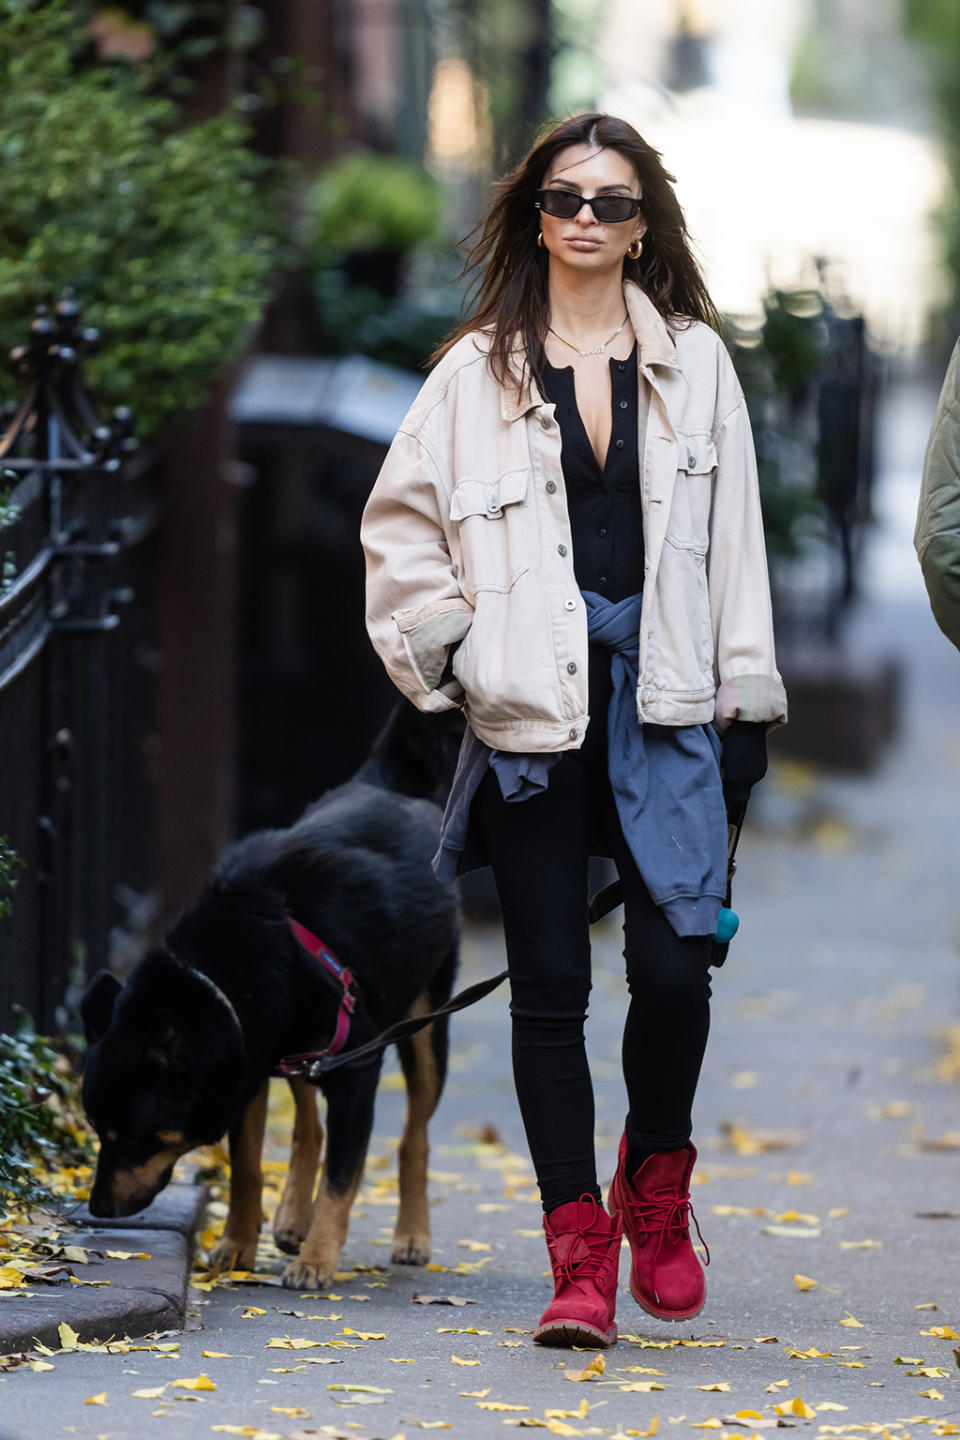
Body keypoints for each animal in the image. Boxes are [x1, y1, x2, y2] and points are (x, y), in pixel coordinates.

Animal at [78, 702, 460, 1290]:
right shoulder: (249, 1066)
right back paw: (292, 1216)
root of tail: (387, 785)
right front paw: (238, 1244)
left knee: (412, 1137)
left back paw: (411, 1234)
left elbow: (342, 1178)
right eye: (97, 1130)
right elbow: (248, 1167)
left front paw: (318, 1259)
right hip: (303, 1050)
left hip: (423, 1027)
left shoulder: (354, 1070)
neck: (232, 973)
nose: (98, 1209)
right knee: (308, 1125)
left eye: (143, 1139)